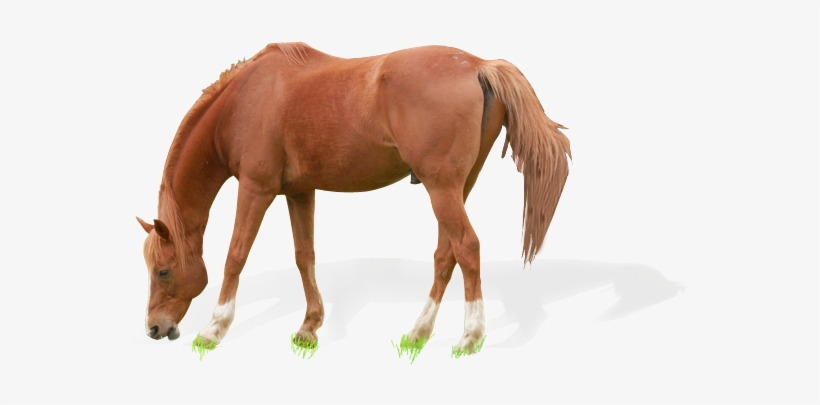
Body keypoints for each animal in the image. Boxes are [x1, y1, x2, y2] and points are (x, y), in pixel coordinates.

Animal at [136, 42, 571, 355]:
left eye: (163, 271)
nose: (154, 328)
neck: (244, 100)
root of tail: (479, 64)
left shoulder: (256, 189)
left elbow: (235, 255)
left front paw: (214, 329)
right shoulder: (299, 191)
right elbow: (304, 257)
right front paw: (309, 327)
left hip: (441, 188)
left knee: (467, 247)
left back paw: (470, 336)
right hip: (456, 188)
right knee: (446, 255)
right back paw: (418, 332)